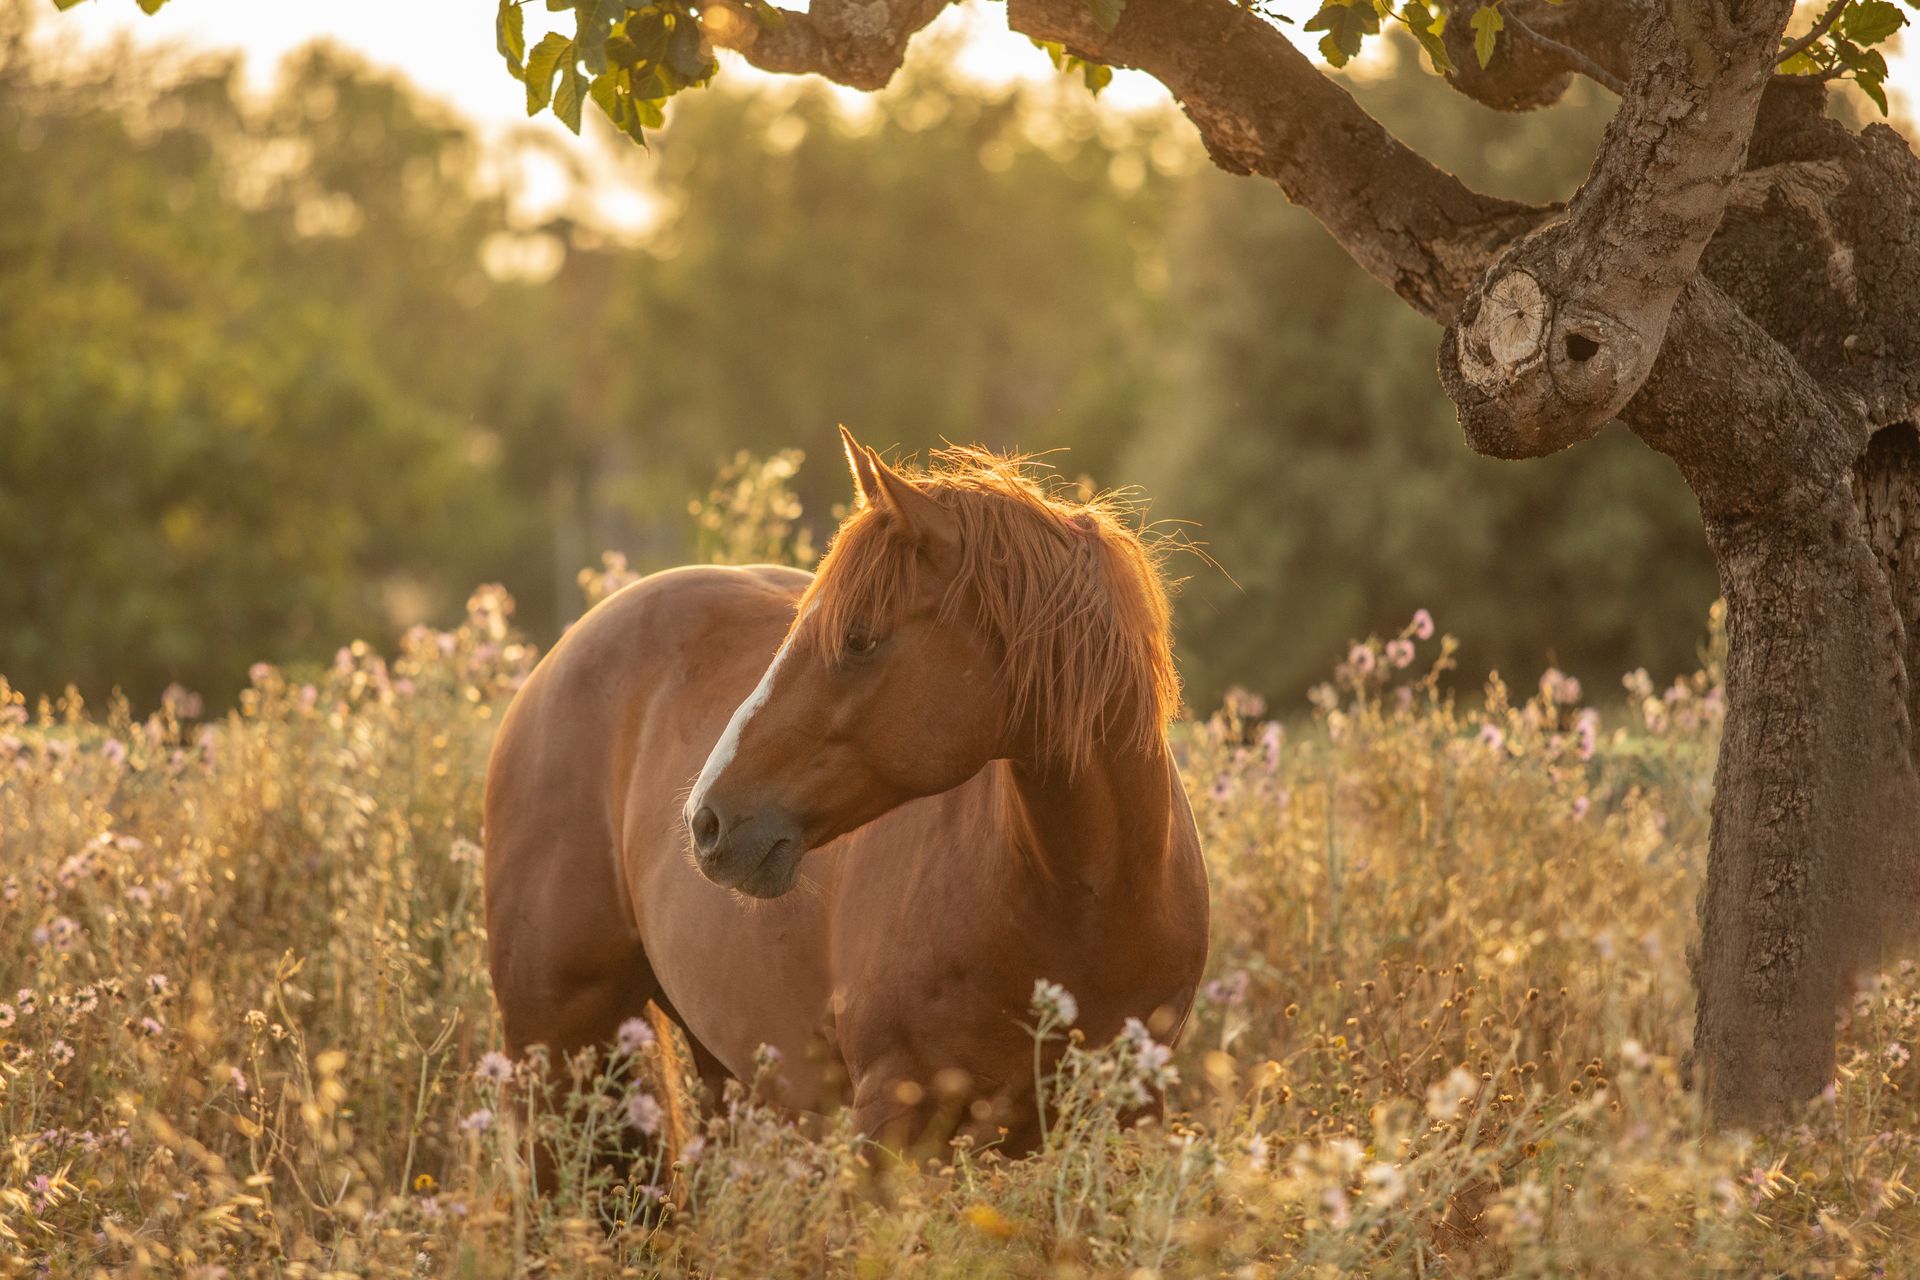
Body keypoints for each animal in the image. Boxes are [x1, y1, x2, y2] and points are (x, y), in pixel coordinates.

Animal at [483, 427, 1209, 1157]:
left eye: (858, 638)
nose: (705, 821)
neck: (1084, 897)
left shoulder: (1129, 1118)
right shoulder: (891, 1121)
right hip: (558, 1053)